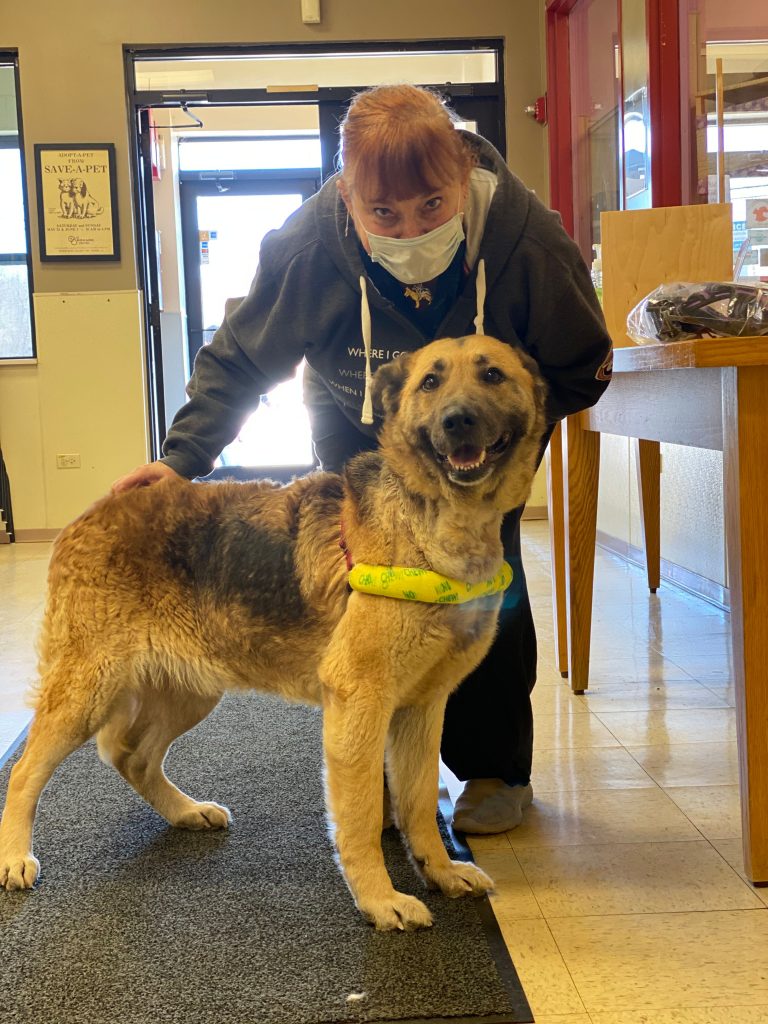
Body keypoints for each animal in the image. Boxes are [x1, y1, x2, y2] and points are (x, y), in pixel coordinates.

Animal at [0, 333, 548, 929]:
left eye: (492, 375)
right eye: (431, 382)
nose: (458, 420)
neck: (432, 524)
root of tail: (93, 510)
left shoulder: (422, 710)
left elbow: (420, 804)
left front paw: (440, 871)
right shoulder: (360, 704)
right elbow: (361, 815)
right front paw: (378, 898)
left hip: (190, 691)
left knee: (133, 756)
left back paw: (185, 811)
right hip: (87, 691)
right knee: (24, 771)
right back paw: (13, 855)